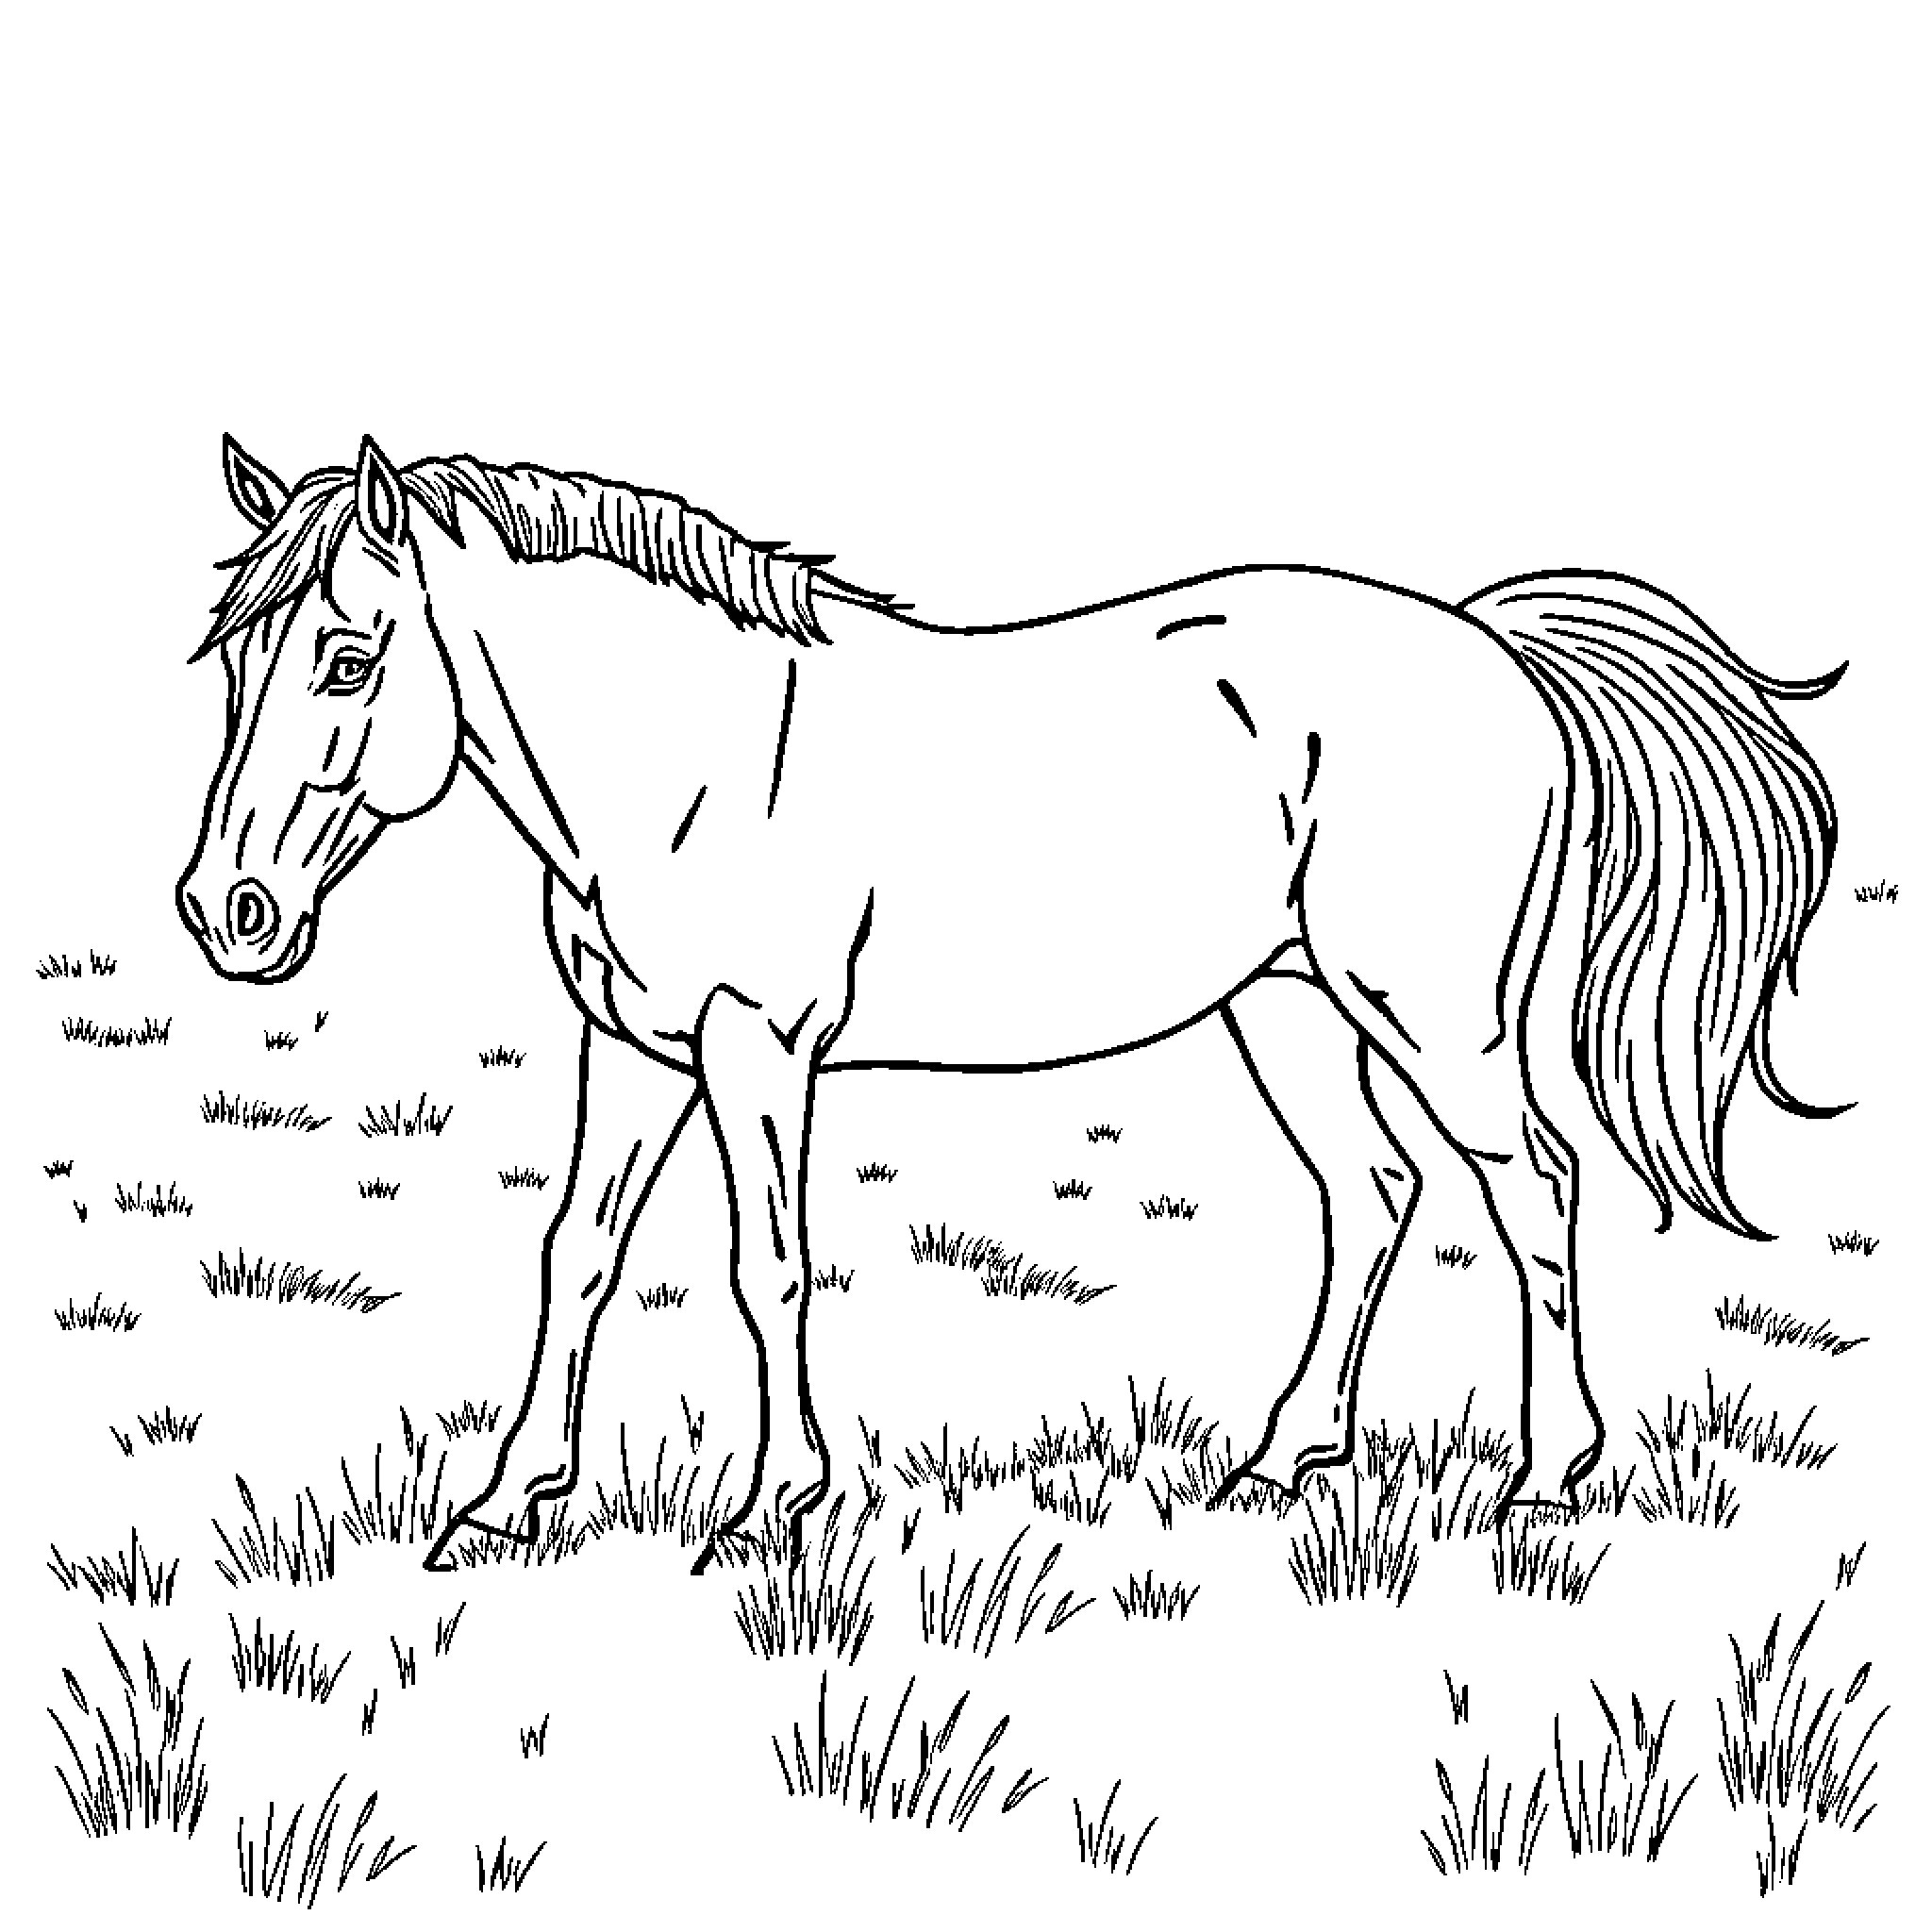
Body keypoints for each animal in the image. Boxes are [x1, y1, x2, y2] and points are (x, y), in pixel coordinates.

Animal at [177, 434, 1845, 1573]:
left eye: (345, 658)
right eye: (235, 660)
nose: (224, 913)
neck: (693, 757)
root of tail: (1490, 643)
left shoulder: (757, 1051)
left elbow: (768, 1269)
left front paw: (774, 1508)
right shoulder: (635, 1051)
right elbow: (573, 1258)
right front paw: (502, 1506)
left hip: (1429, 1015)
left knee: (1532, 1188)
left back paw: (1547, 1477)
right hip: (1292, 1008)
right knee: (1377, 1193)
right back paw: (1278, 1465)